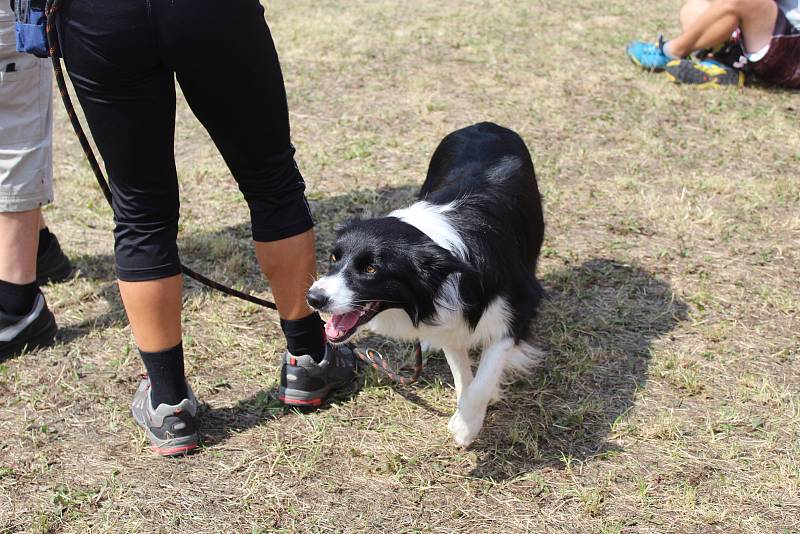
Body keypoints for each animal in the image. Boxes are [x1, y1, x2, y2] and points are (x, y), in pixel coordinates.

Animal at [306, 122, 544, 448]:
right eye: (334, 257)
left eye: (370, 269)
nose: (313, 298)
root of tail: (484, 124)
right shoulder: (451, 315)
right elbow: (460, 368)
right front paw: (466, 412)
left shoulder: (520, 303)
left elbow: (486, 372)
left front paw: (467, 424)